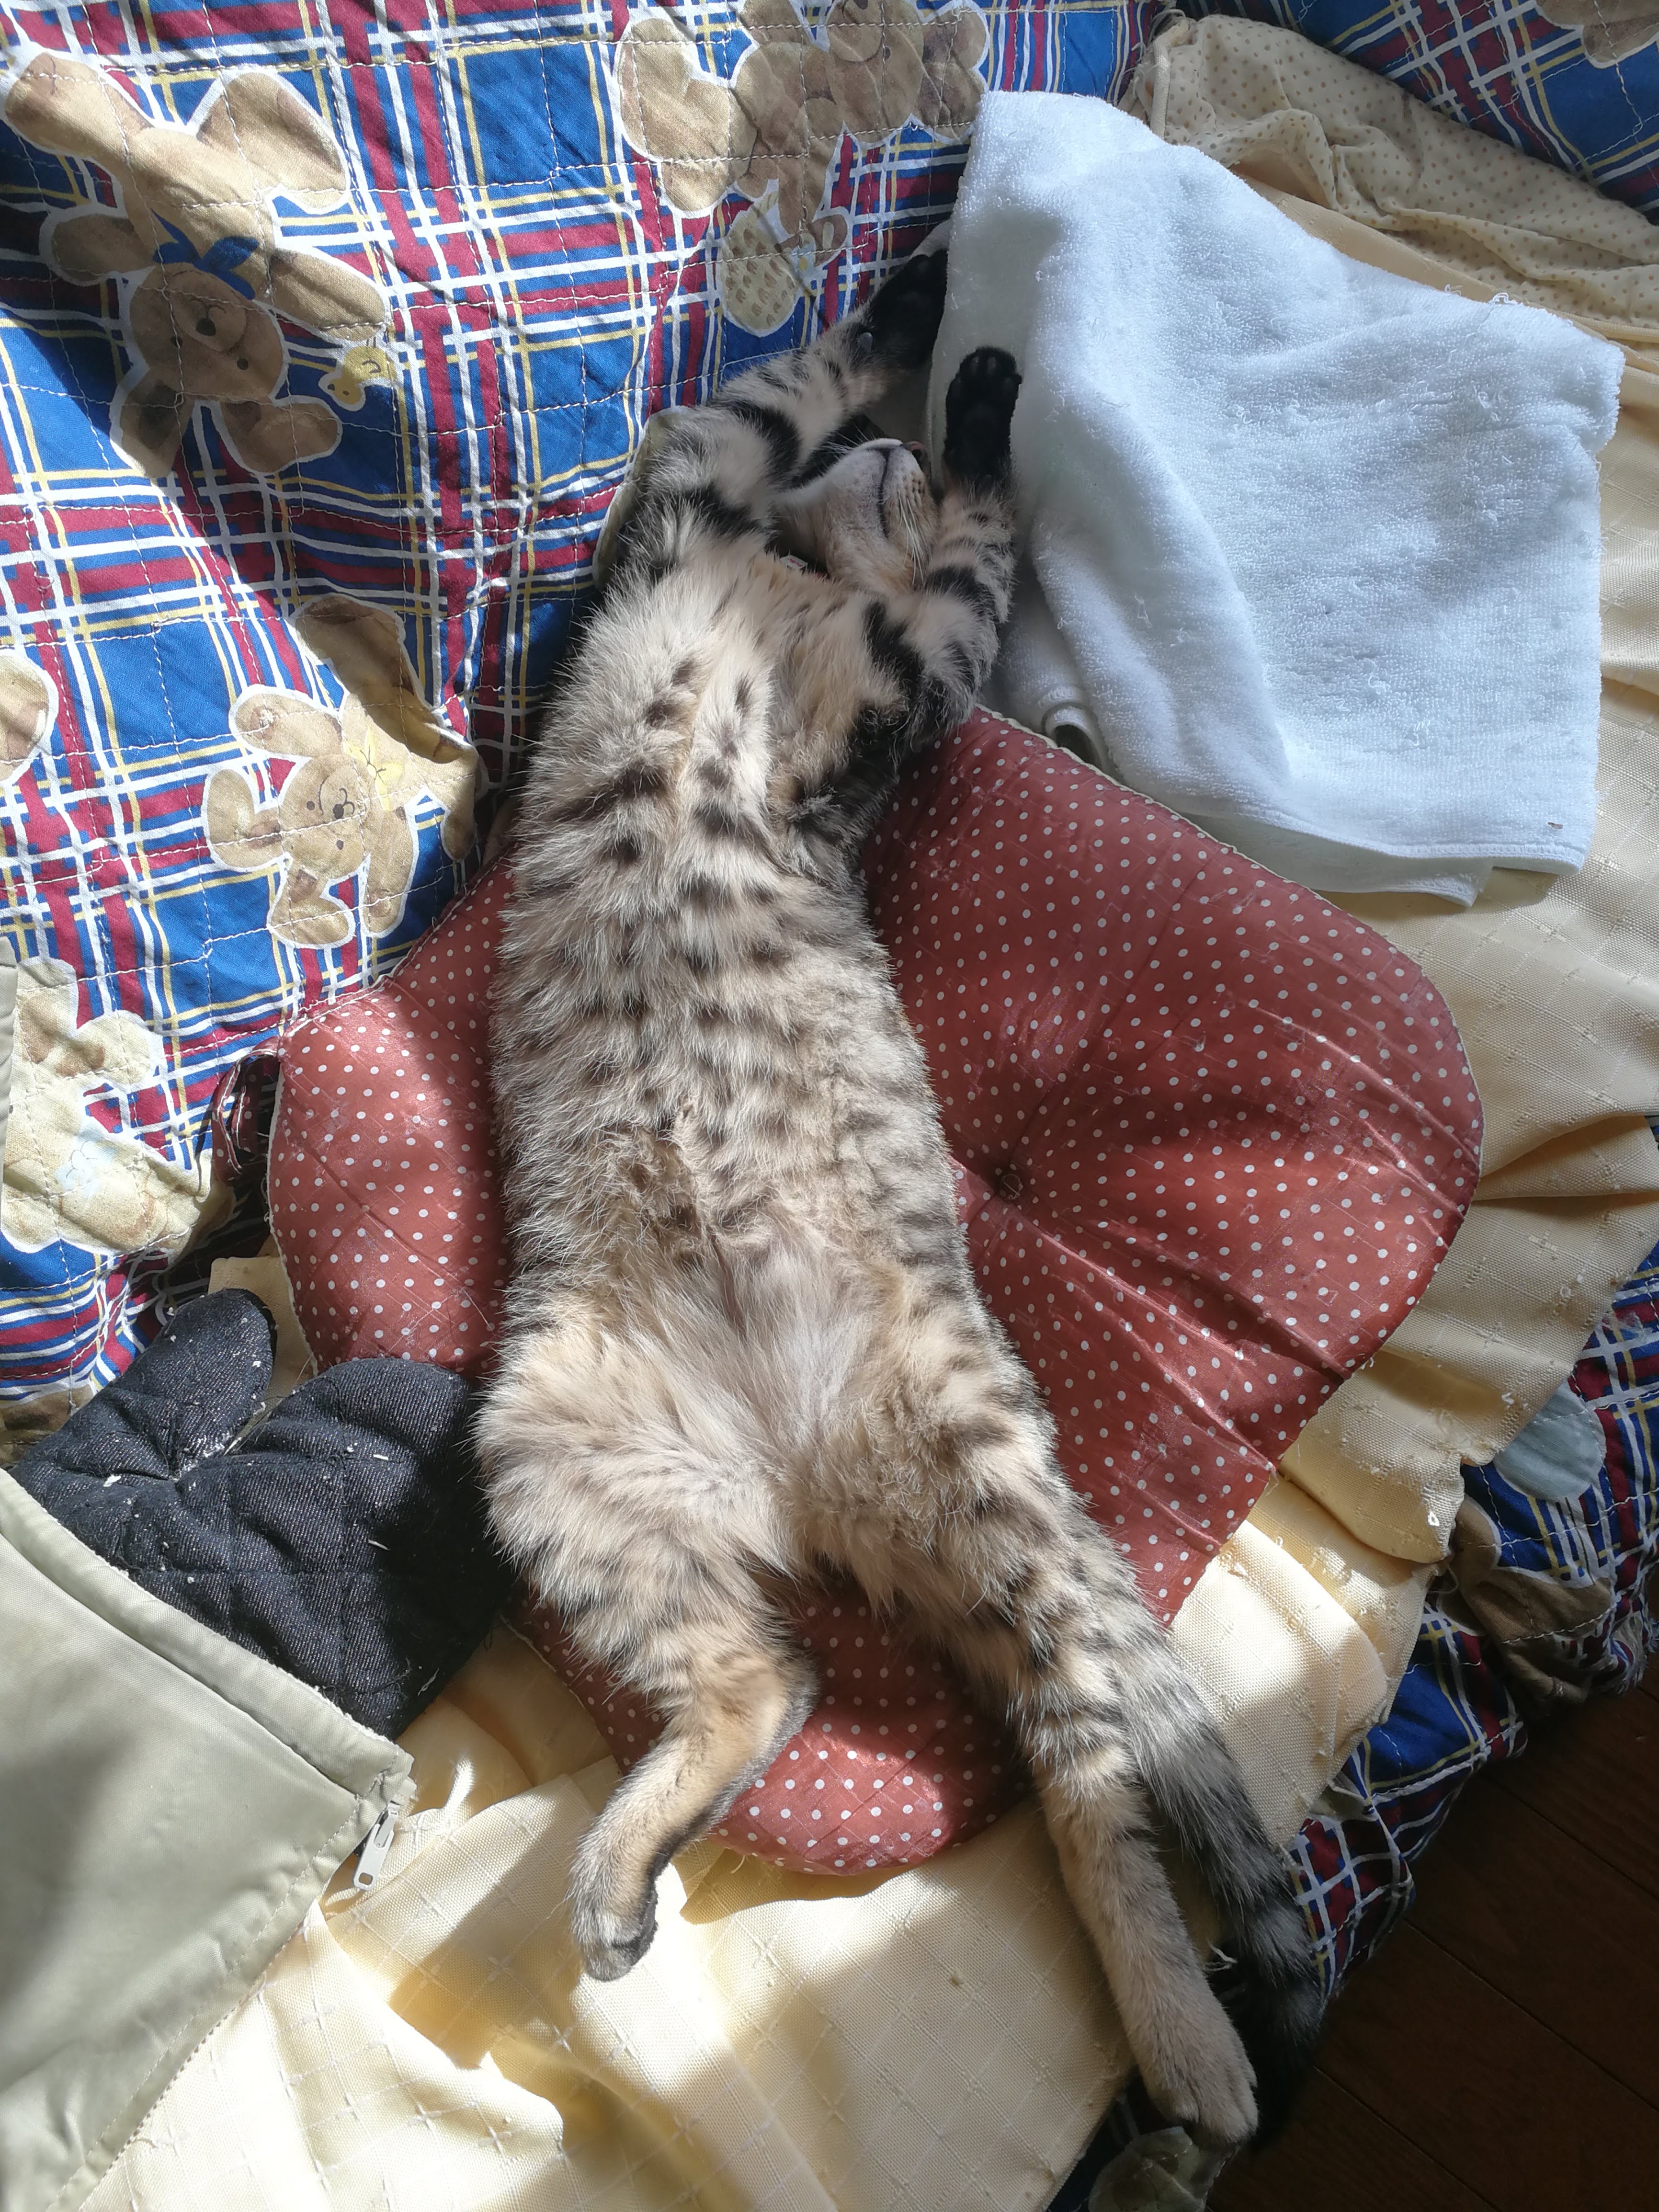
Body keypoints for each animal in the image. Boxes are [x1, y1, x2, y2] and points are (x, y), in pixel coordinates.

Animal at [480, 243, 1322, 2151]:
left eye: (908, 469)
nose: (900, 450)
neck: (777, 578)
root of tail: (793, 1478)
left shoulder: (902, 667)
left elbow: (956, 531)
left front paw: (963, 354)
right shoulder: (702, 504)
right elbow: (780, 394)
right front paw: (924, 318)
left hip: (975, 1475)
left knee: (1083, 1743)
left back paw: (1186, 2037)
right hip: (561, 1461)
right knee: (778, 1683)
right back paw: (627, 1878)